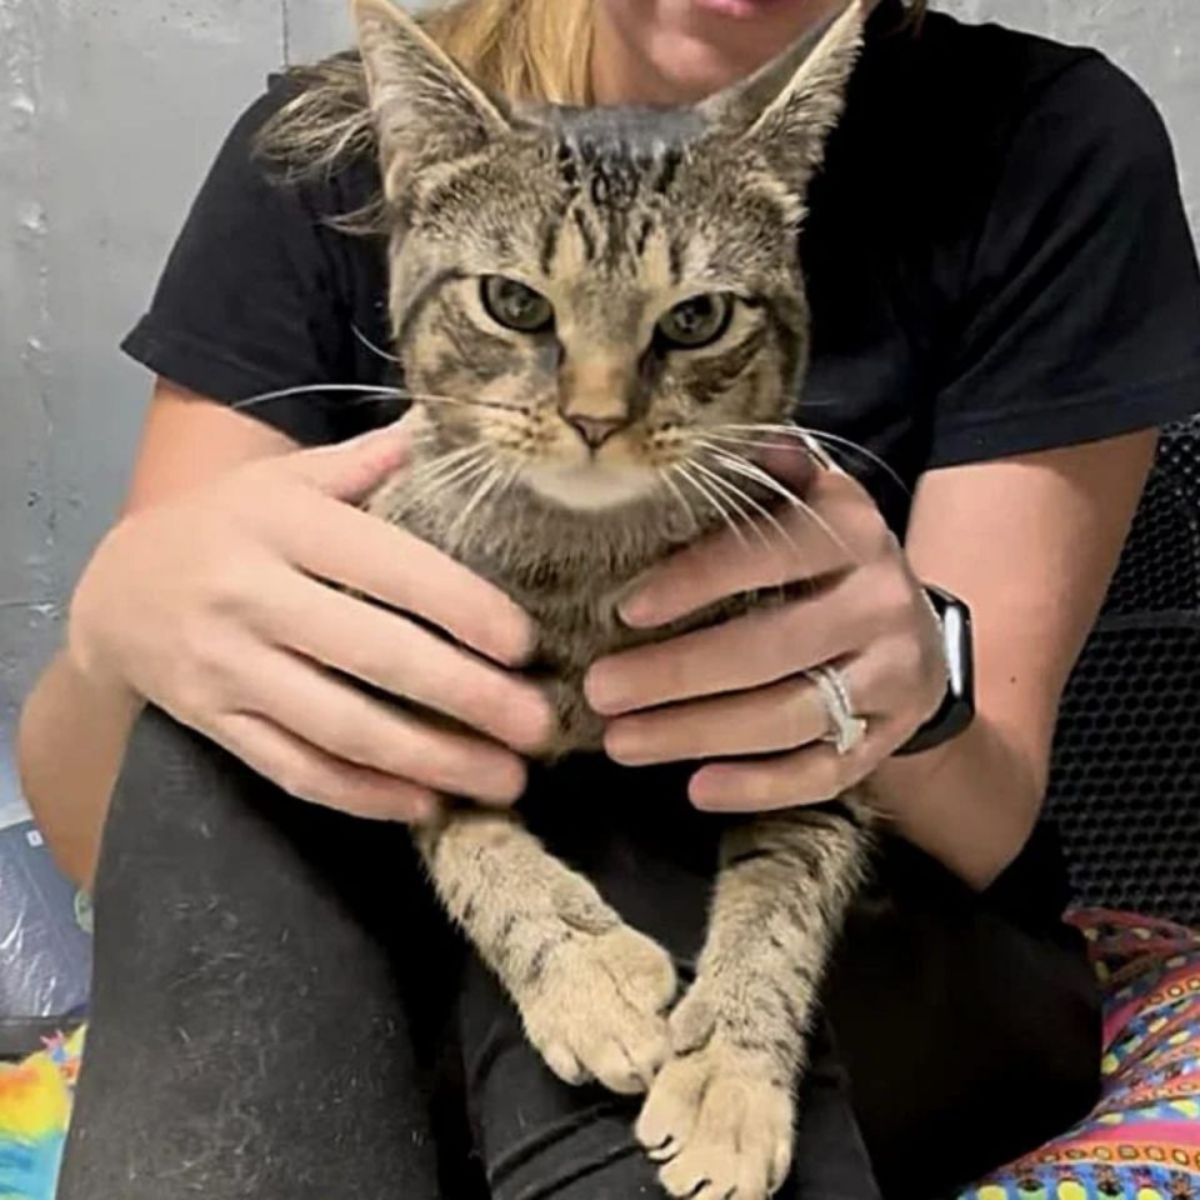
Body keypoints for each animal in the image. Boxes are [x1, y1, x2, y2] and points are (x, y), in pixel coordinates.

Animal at [350, 2, 873, 1190]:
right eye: (513, 302)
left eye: (697, 318)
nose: (595, 417)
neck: (584, 573)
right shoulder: (408, 692)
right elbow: (471, 845)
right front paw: (587, 976)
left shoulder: (809, 748)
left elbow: (783, 901)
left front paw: (728, 1076)